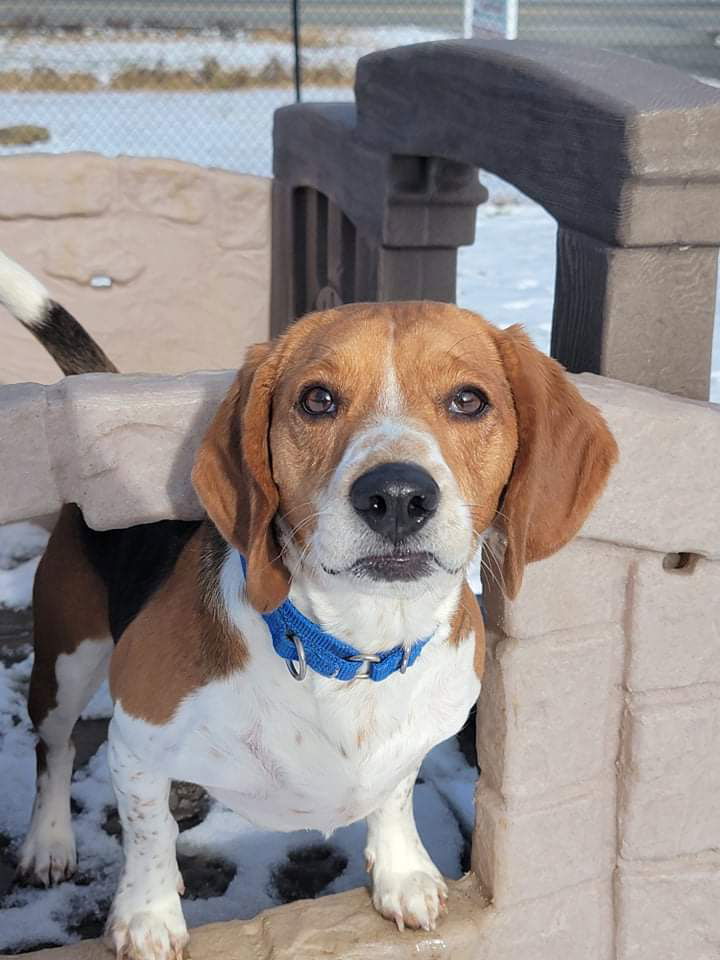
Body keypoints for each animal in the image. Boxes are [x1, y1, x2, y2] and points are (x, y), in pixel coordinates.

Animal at [1, 249, 620, 960]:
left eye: (469, 400)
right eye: (317, 399)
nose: (397, 494)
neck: (351, 648)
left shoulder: (413, 743)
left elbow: (395, 796)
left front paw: (402, 872)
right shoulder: (134, 740)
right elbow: (148, 833)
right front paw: (149, 915)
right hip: (67, 661)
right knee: (54, 751)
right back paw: (49, 842)